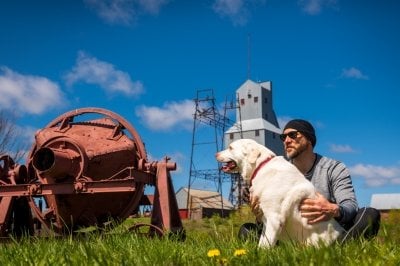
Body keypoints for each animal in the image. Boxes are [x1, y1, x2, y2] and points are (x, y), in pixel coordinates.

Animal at [216, 139, 344, 247]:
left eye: (230, 147)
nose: (215, 154)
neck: (261, 166)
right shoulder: (266, 219)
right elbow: (262, 242)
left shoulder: (274, 219)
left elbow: (265, 247)